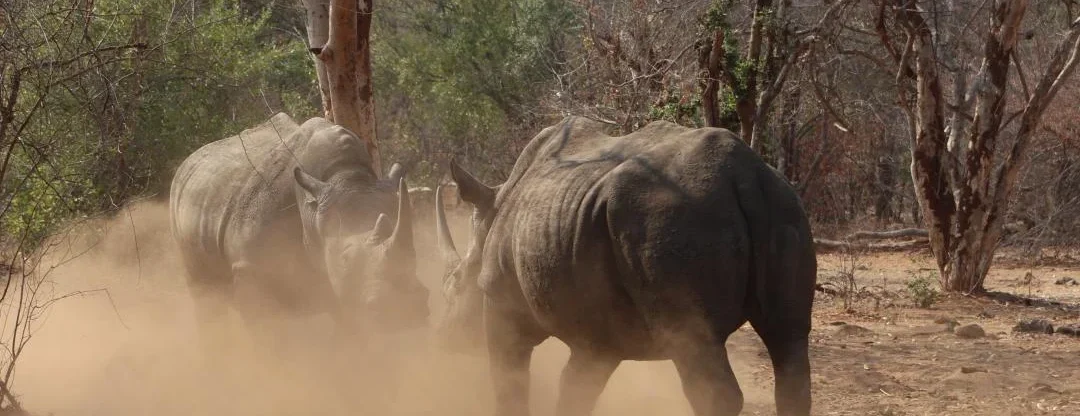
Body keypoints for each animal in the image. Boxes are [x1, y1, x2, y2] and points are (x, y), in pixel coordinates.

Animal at [169, 113, 429, 352]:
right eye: (345, 258)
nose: (405, 309)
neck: (345, 176)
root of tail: (187, 161)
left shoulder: (342, 290)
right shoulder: (249, 269)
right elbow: (266, 340)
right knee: (204, 295)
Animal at [434, 117, 817, 416]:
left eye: (454, 285)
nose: (442, 339)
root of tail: (745, 176)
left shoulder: (502, 304)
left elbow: (508, 383)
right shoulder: (597, 339)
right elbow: (574, 392)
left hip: (671, 217)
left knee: (699, 353)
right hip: (785, 207)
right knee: (789, 339)